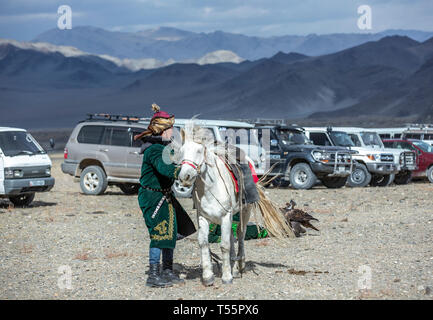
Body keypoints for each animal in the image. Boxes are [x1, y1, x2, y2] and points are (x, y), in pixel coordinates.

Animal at [176, 122, 294, 284]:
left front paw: (227, 276)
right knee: (232, 236)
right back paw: (233, 265)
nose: (185, 177)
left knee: (240, 235)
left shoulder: (226, 216)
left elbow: (224, 245)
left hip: (245, 211)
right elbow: (204, 243)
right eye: (181, 151)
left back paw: (239, 266)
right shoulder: (203, 217)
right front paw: (208, 276)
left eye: (199, 150)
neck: (211, 188)